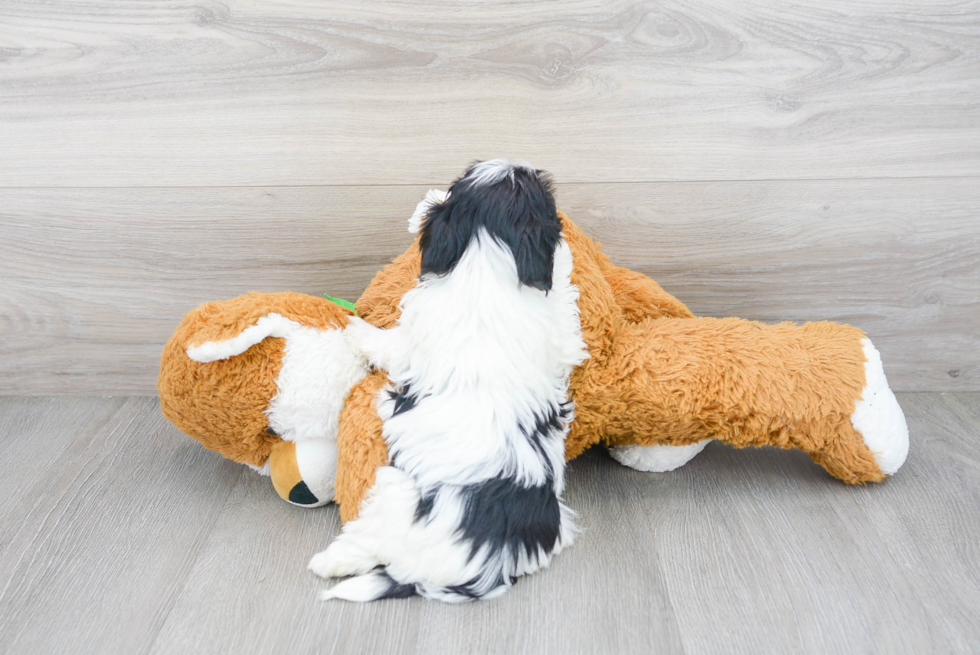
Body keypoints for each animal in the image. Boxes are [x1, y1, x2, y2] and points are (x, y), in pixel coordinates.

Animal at [310, 161, 588, 604]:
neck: (486, 264)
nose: (523, 163)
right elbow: (560, 296)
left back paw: (329, 562)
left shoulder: (409, 340)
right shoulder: (560, 336)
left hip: (395, 490)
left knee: (370, 540)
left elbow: (382, 341)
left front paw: (351, 326)